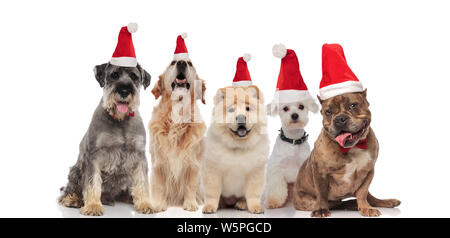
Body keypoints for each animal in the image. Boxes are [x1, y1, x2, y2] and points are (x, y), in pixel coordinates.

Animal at [59, 62, 153, 216]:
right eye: (114, 75)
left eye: (134, 76)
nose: (124, 91)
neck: (120, 120)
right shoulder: (94, 156)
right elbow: (92, 182)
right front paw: (93, 206)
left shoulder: (139, 155)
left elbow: (142, 181)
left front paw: (145, 203)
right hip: (75, 170)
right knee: (68, 189)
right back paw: (72, 199)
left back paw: (129, 197)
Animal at [149, 57, 207, 212]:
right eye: (173, 63)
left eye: (190, 63)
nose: (182, 62)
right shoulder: (158, 162)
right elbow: (159, 186)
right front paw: (159, 205)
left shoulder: (194, 163)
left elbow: (190, 185)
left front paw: (190, 204)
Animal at [202, 86, 268, 215]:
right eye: (231, 110)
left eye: (248, 108)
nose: (241, 118)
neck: (238, 146)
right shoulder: (213, 170)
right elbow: (212, 192)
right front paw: (210, 207)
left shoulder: (255, 171)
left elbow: (253, 193)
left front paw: (255, 207)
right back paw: (221, 204)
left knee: (243, 197)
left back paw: (241, 204)